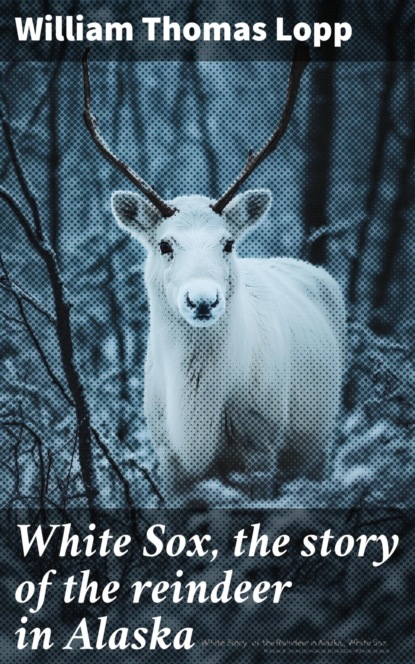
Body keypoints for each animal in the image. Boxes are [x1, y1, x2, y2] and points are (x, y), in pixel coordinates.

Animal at [82, 44, 346, 498]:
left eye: (228, 243)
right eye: (165, 244)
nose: (202, 299)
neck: (196, 426)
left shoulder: (262, 448)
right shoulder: (167, 458)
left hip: (320, 450)